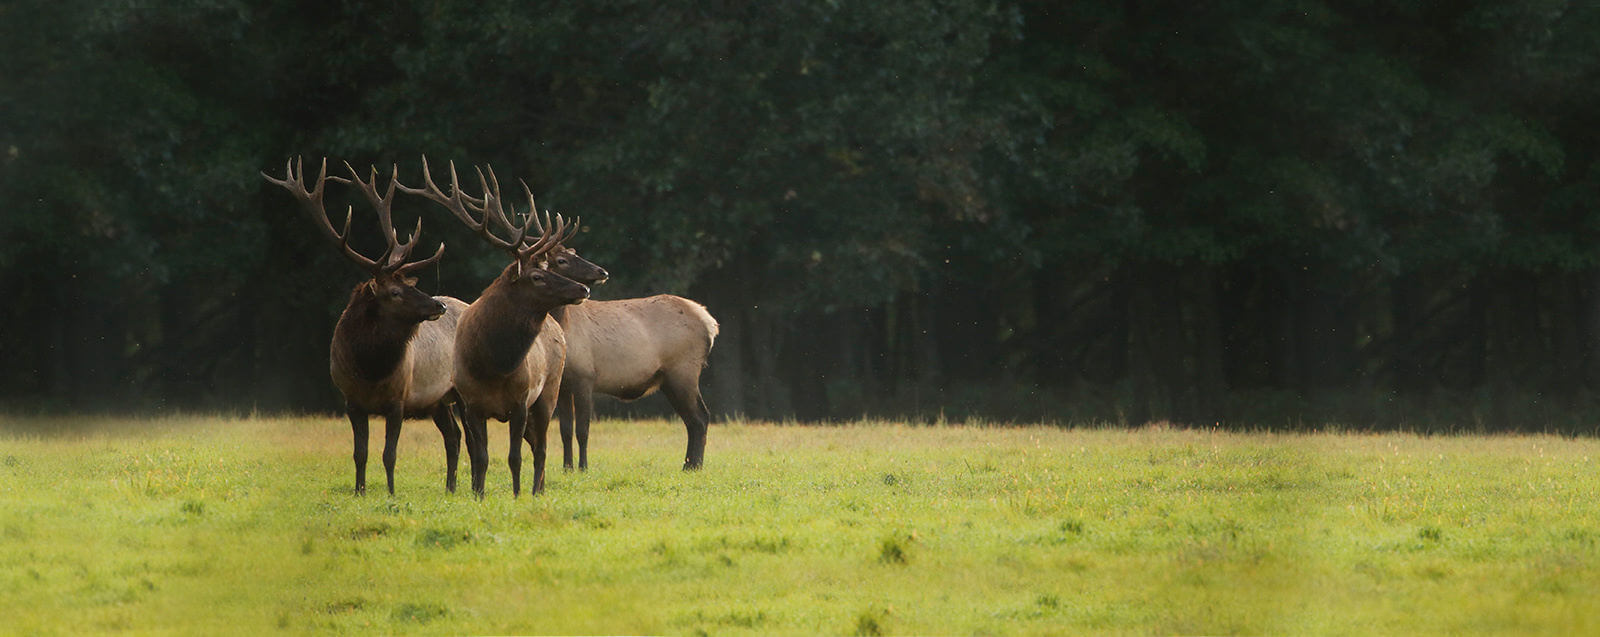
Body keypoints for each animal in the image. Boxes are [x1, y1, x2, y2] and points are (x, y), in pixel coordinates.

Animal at [262, 156, 467, 496]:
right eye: (395, 292)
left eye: (410, 285)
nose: (439, 306)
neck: (370, 369)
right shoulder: (351, 401)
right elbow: (360, 452)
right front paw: (360, 491)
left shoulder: (398, 400)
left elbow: (389, 454)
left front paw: (391, 492)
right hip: (438, 401)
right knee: (454, 436)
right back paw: (450, 487)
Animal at [396, 159, 592, 496]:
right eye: (536, 277)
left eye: (548, 269)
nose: (583, 288)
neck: (494, 364)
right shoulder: (472, 405)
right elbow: (482, 456)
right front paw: (478, 495)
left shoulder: (521, 401)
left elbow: (515, 457)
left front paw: (517, 495)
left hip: (549, 392)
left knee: (541, 448)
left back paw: (538, 491)